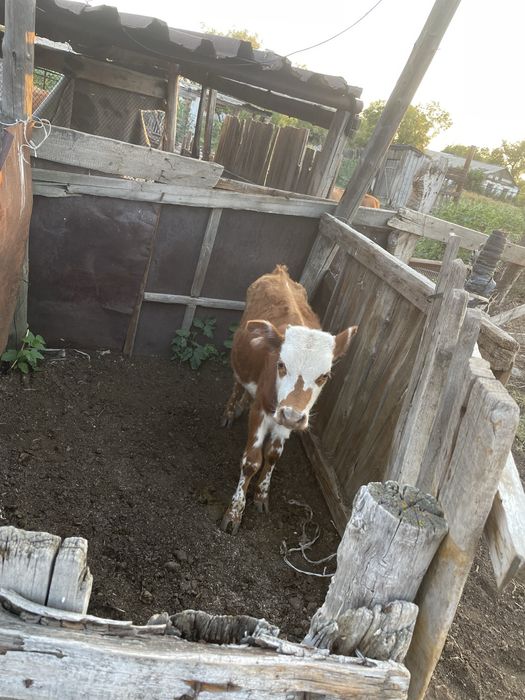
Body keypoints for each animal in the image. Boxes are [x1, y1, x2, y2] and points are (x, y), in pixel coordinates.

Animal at [220, 265, 358, 534]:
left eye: (324, 376)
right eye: (281, 365)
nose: (292, 414)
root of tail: (280, 272)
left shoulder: (288, 422)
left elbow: (273, 455)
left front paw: (262, 495)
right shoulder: (261, 411)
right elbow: (251, 461)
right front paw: (235, 512)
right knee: (238, 383)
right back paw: (231, 410)